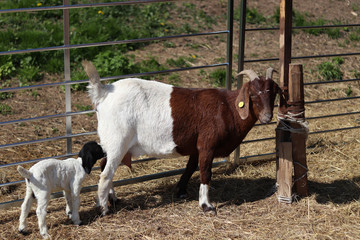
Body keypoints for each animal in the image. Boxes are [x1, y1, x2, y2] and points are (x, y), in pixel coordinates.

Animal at [82, 61, 282, 215]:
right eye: (253, 94)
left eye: (273, 93)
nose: (267, 117)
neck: (228, 107)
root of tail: (104, 91)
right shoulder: (207, 145)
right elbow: (205, 173)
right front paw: (206, 206)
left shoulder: (196, 147)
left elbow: (190, 167)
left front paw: (181, 191)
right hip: (118, 141)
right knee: (105, 174)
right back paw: (104, 208)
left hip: (113, 144)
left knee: (104, 166)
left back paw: (113, 198)